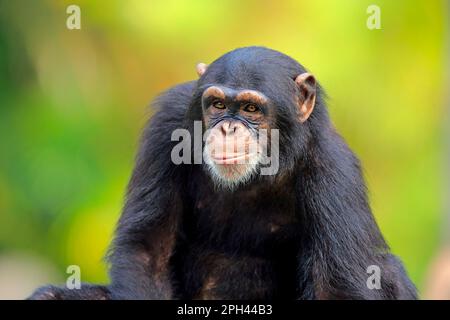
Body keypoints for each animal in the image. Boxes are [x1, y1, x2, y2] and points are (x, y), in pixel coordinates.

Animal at [28, 46, 416, 298]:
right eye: (217, 104)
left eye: (250, 108)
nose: (228, 127)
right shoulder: (167, 125)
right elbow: (149, 250)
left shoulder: (335, 173)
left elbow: (332, 288)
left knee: (387, 269)